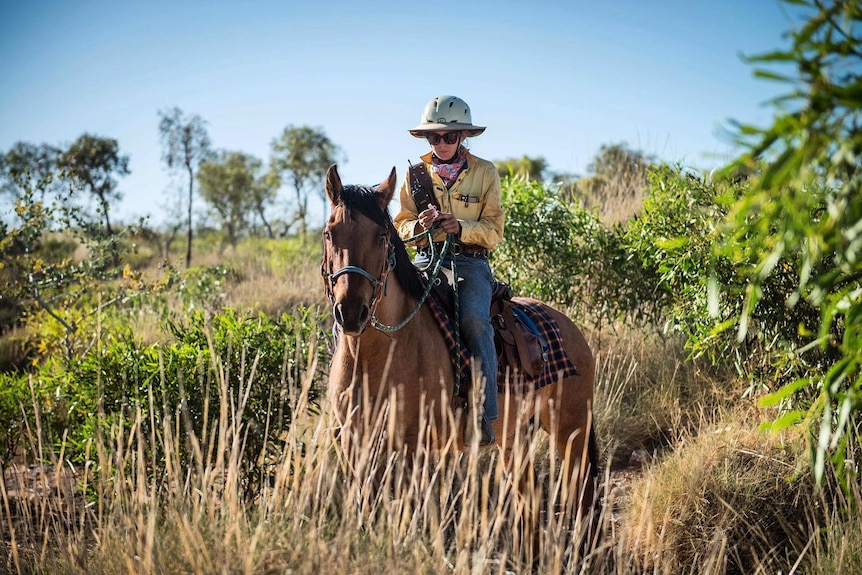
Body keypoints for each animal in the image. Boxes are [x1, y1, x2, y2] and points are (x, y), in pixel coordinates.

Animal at [320, 165, 596, 516]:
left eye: (381, 236)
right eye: (329, 233)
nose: (351, 312)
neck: (374, 359)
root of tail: (571, 328)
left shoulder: (413, 445)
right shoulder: (355, 443)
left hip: (571, 428)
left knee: (583, 496)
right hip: (516, 436)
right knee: (529, 497)